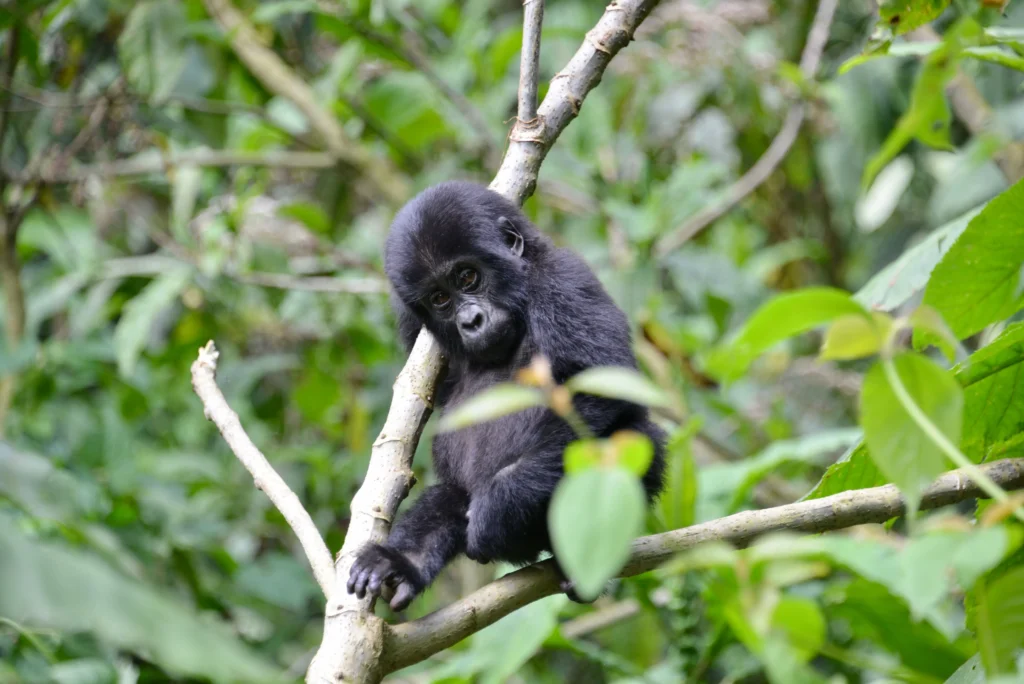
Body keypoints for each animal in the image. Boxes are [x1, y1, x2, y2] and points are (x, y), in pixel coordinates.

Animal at [346, 181, 666, 611]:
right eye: (439, 299)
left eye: (467, 276)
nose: (471, 320)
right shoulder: (415, 326)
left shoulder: (563, 278)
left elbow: (598, 389)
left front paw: (500, 508)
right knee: (451, 496)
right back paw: (402, 563)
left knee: (635, 439)